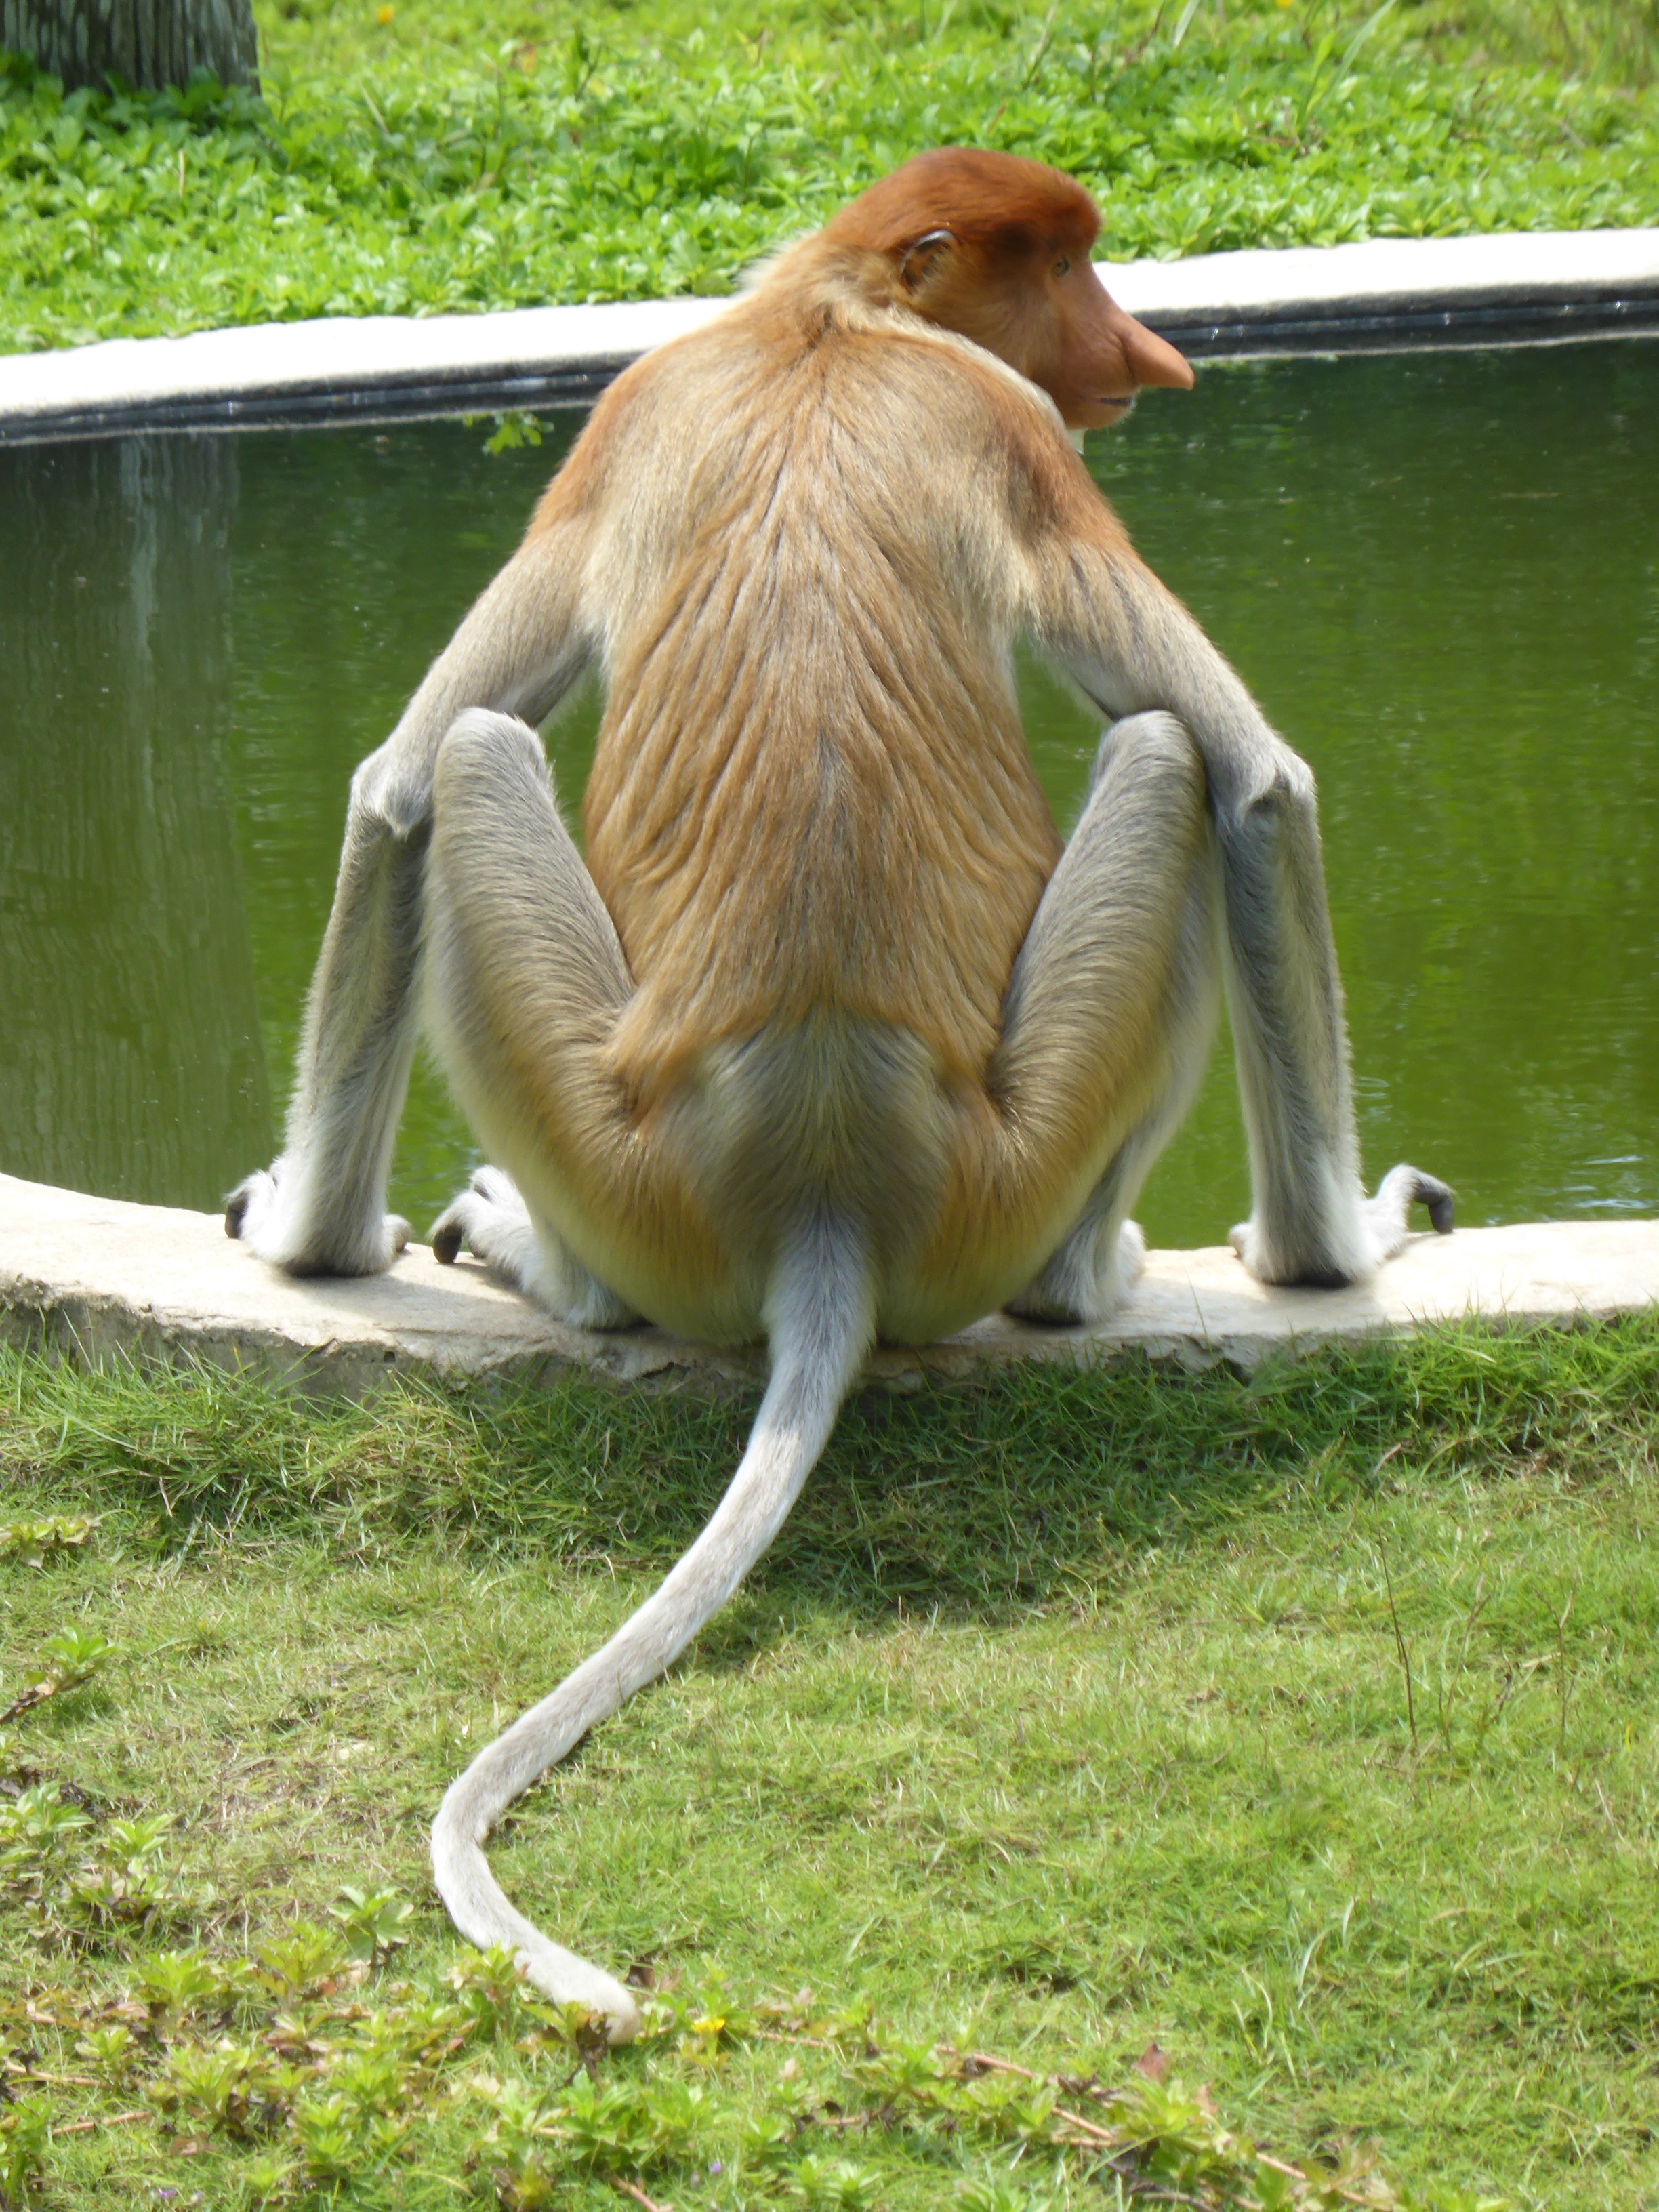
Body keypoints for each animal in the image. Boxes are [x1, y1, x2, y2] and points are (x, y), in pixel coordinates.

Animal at [225, 148, 1453, 2040]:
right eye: (1068, 270)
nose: (1145, 357)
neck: (830, 319)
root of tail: (824, 1181)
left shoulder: (638, 398)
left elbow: (396, 786)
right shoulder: (998, 431)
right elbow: (1253, 780)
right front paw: (1341, 1256)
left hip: (680, 1151)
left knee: (483, 762)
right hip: (970, 1168)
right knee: (1159, 761)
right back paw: (1064, 1280)